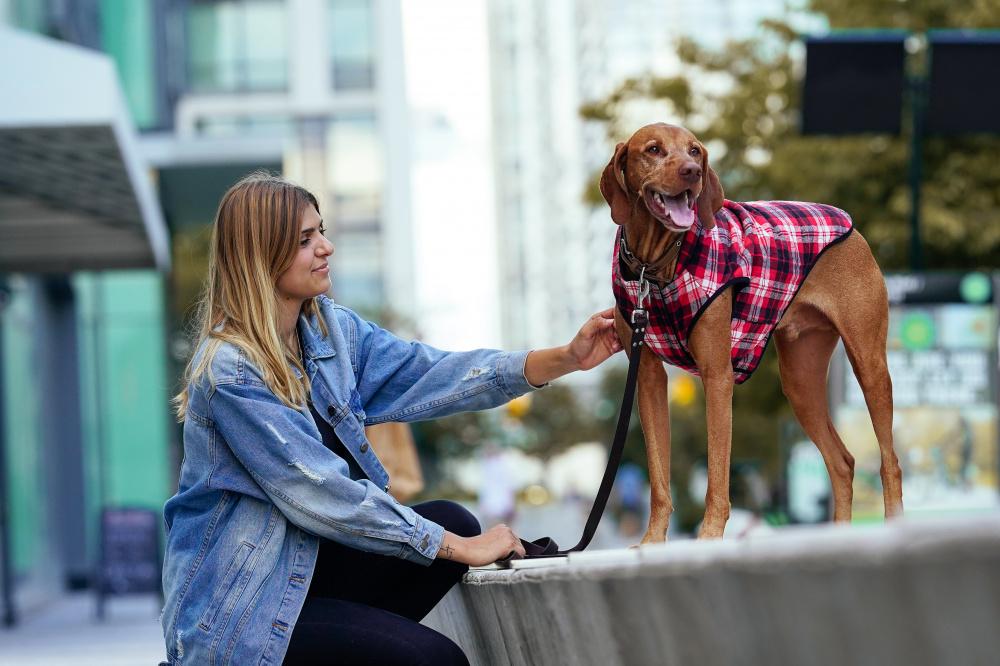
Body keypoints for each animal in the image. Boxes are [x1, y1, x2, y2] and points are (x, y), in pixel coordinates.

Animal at [600, 123, 908, 540]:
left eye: (694, 151)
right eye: (653, 149)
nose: (692, 173)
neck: (658, 266)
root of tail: (848, 223)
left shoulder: (717, 375)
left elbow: (716, 474)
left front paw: (709, 537)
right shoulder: (646, 378)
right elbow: (659, 478)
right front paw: (652, 542)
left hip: (869, 364)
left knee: (889, 461)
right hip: (799, 380)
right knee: (842, 462)